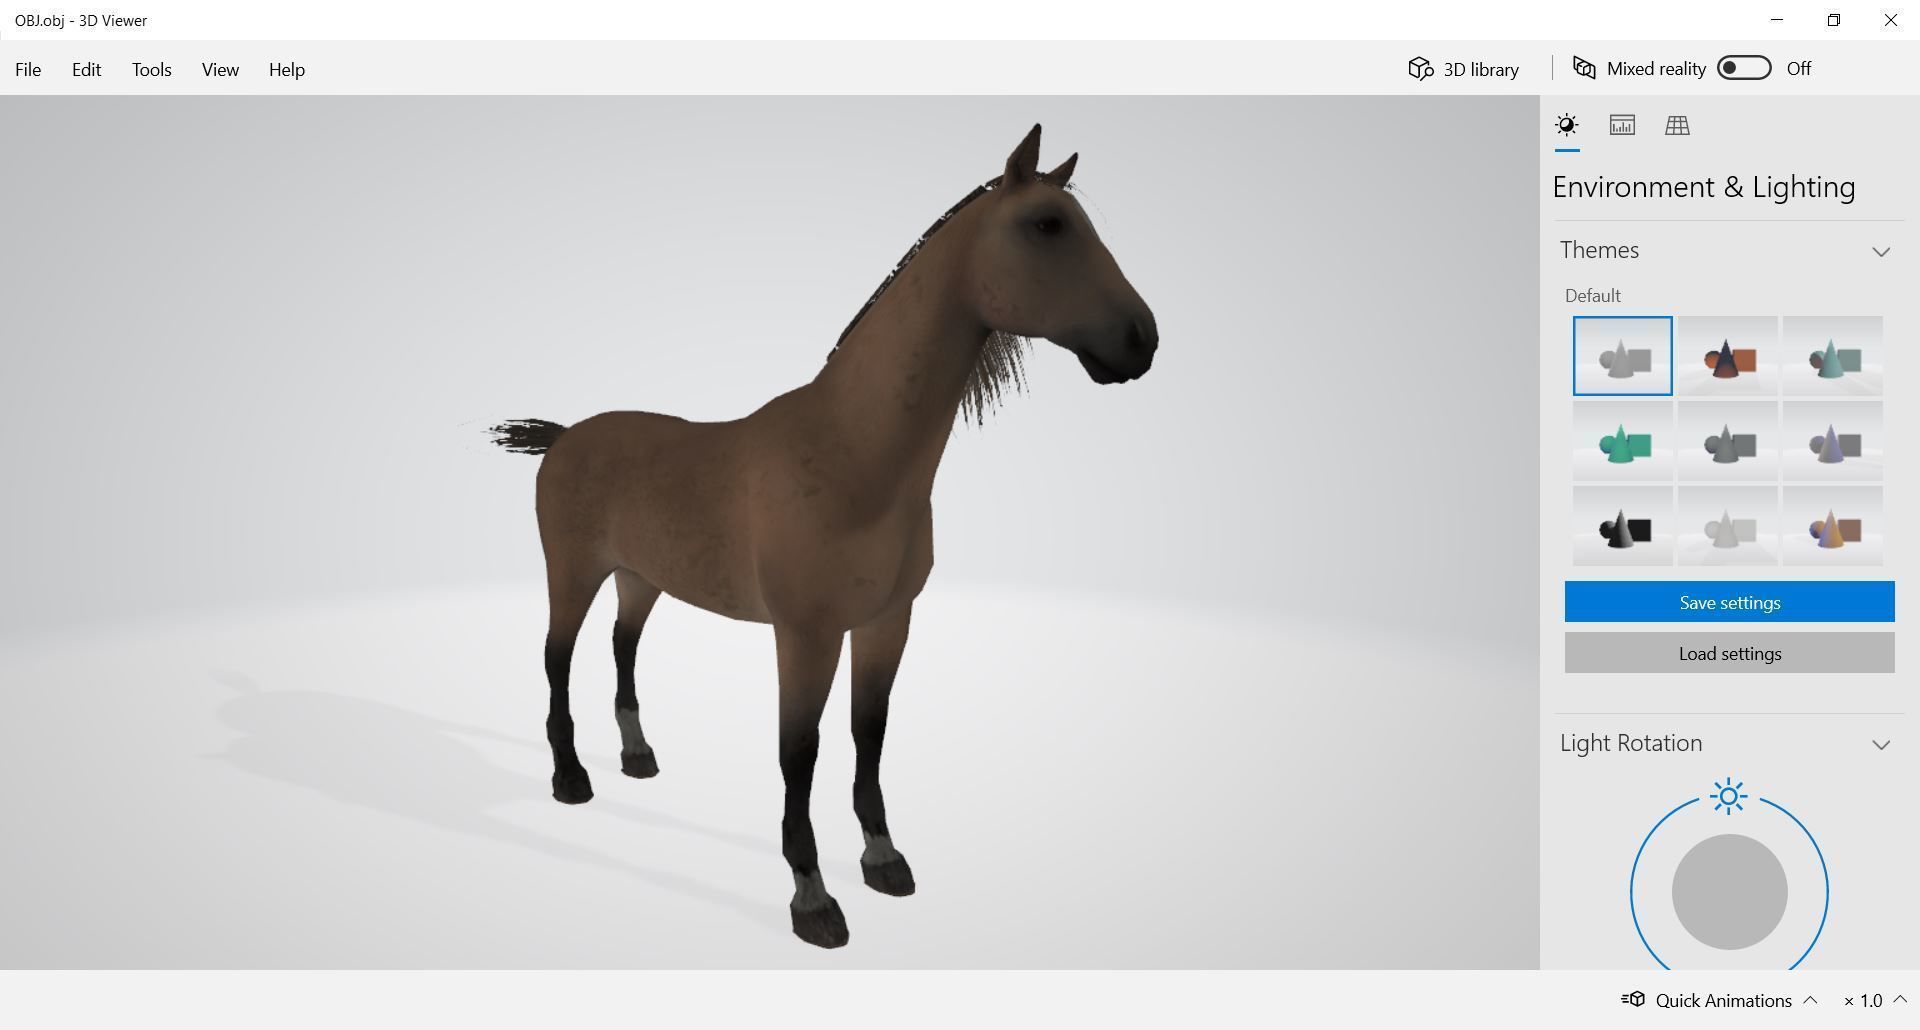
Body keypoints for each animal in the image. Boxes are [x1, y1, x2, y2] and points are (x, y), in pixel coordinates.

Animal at [489, 124, 1157, 948]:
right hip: (575, 573)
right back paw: (570, 778)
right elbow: (797, 751)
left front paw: (883, 857)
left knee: (623, 647)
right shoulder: (805, 634)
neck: (849, 455)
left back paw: (638, 757)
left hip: (641, 577)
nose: (1141, 340)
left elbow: (869, 732)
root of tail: (564, 438)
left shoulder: (886, 622)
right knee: (558, 658)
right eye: (1048, 225)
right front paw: (812, 897)